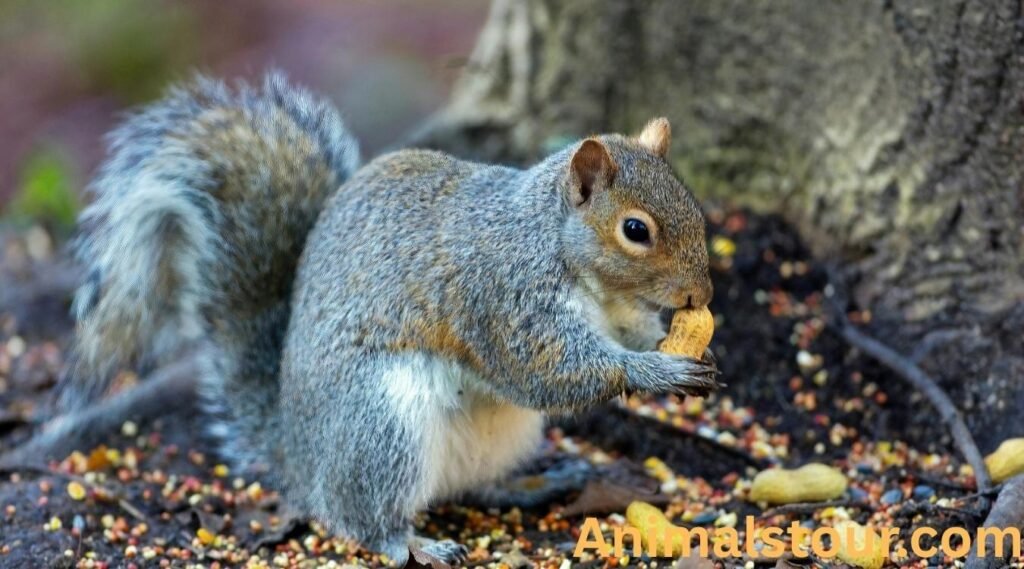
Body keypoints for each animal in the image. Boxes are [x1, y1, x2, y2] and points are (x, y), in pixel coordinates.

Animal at [54, 72, 718, 565]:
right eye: (635, 230)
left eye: (692, 200)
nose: (701, 292)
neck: (561, 249)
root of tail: (300, 457)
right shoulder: (503, 295)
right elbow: (547, 369)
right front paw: (655, 371)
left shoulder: (613, 309)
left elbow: (627, 333)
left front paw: (681, 346)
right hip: (381, 423)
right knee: (359, 519)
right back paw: (414, 542)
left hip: (501, 435)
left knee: (473, 485)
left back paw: (532, 485)